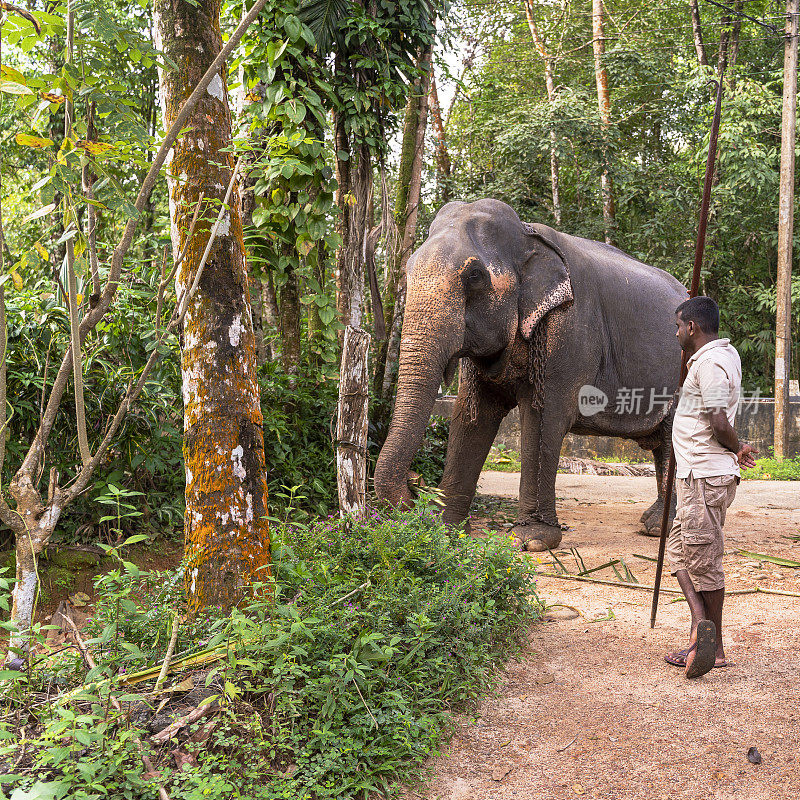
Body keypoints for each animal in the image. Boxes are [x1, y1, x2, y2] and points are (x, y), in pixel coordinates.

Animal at [376, 198, 688, 552]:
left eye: (474, 276)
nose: (414, 485)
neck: (527, 236)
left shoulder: (568, 331)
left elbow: (543, 419)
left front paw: (534, 541)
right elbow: (470, 418)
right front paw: (446, 530)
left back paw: (663, 529)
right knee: (661, 442)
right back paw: (653, 524)